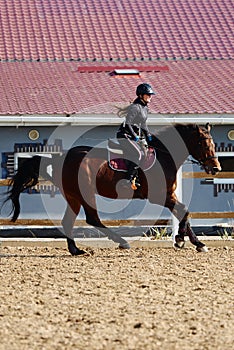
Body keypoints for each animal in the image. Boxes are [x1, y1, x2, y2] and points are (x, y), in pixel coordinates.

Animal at [2, 123, 220, 254]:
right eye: (203, 143)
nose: (216, 168)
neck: (164, 156)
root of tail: (61, 157)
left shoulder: (170, 194)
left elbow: (185, 213)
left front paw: (195, 243)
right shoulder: (158, 195)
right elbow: (184, 211)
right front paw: (181, 240)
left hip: (73, 196)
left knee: (68, 221)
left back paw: (76, 250)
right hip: (85, 193)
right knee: (92, 219)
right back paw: (121, 242)